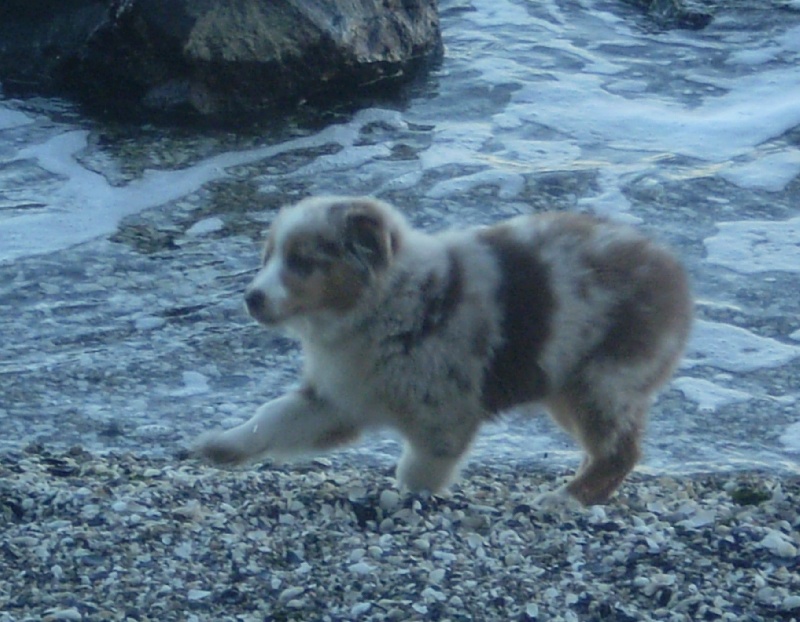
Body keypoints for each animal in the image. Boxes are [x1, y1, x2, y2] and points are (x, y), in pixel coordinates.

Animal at [197, 196, 692, 506]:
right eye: (268, 258)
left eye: (302, 262)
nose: (251, 298)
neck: (381, 305)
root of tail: (671, 269)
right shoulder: (335, 398)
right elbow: (272, 418)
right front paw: (222, 445)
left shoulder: (443, 414)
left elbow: (420, 470)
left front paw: (407, 498)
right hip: (568, 388)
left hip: (605, 380)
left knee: (619, 453)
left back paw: (564, 500)